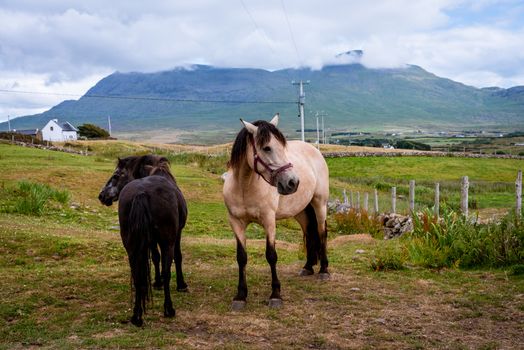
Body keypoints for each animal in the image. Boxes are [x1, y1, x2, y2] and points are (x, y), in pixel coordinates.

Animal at [99, 154, 188, 326]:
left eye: (116, 175)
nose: (101, 195)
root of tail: (141, 192)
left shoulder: (150, 240)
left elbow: (154, 258)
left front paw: (157, 282)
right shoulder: (177, 234)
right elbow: (177, 257)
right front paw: (181, 284)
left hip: (131, 245)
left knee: (137, 274)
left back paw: (137, 315)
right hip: (167, 241)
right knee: (167, 270)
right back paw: (169, 309)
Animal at [223, 114, 330, 308]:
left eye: (283, 146)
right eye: (267, 148)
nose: (292, 182)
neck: (244, 186)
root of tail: (315, 150)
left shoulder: (269, 221)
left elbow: (271, 255)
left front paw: (275, 295)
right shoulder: (236, 222)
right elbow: (241, 257)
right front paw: (240, 296)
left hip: (319, 204)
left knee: (321, 232)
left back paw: (324, 270)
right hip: (301, 211)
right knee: (309, 232)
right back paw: (308, 267)